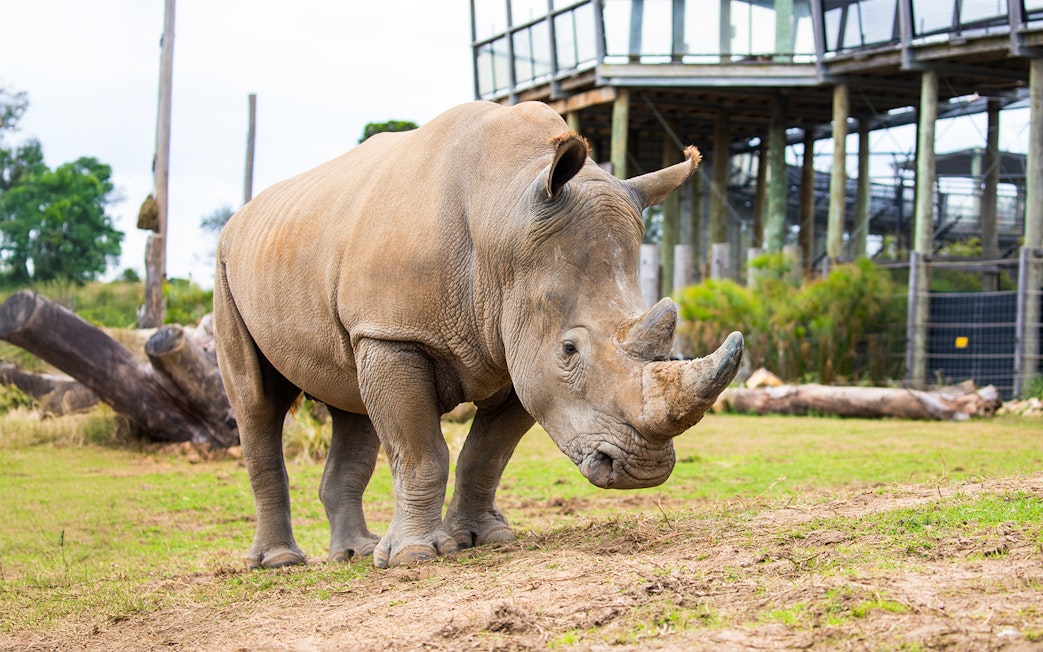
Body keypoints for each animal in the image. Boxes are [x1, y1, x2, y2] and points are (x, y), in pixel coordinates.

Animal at [213, 100, 743, 569]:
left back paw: (354, 554)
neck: (504, 222)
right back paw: (279, 562)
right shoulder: (395, 335)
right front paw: (413, 557)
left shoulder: (518, 349)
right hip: (228, 263)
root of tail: (242, 217)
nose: (642, 470)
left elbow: (487, 453)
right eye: (569, 350)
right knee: (257, 404)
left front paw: (483, 539)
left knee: (351, 403)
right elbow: (420, 451)